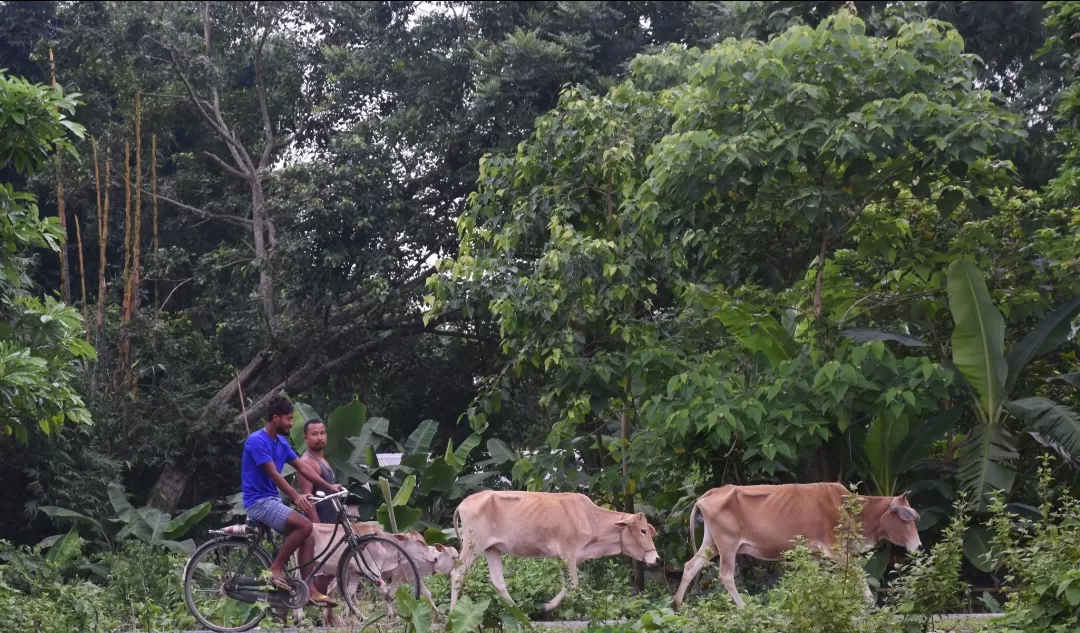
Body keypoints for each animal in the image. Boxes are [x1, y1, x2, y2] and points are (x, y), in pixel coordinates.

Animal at [447, 488, 656, 609]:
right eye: (643, 530)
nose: (656, 559)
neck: (589, 518)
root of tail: (464, 502)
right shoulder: (568, 553)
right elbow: (574, 584)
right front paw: (549, 607)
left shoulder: (563, 557)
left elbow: (568, 583)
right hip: (473, 545)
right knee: (457, 573)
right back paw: (453, 612)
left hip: (492, 549)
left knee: (498, 582)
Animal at [673, 479, 920, 609]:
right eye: (906, 518)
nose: (917, 546)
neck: (851, 508)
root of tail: (715, 490)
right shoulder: (836, 550)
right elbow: (858, 574)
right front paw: (870, 604)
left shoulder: (815, 553)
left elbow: (812, 580)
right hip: (727, 545)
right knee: (725, 575)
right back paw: (744, 609)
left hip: (712, 544)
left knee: (690, 566)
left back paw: (678, 606)